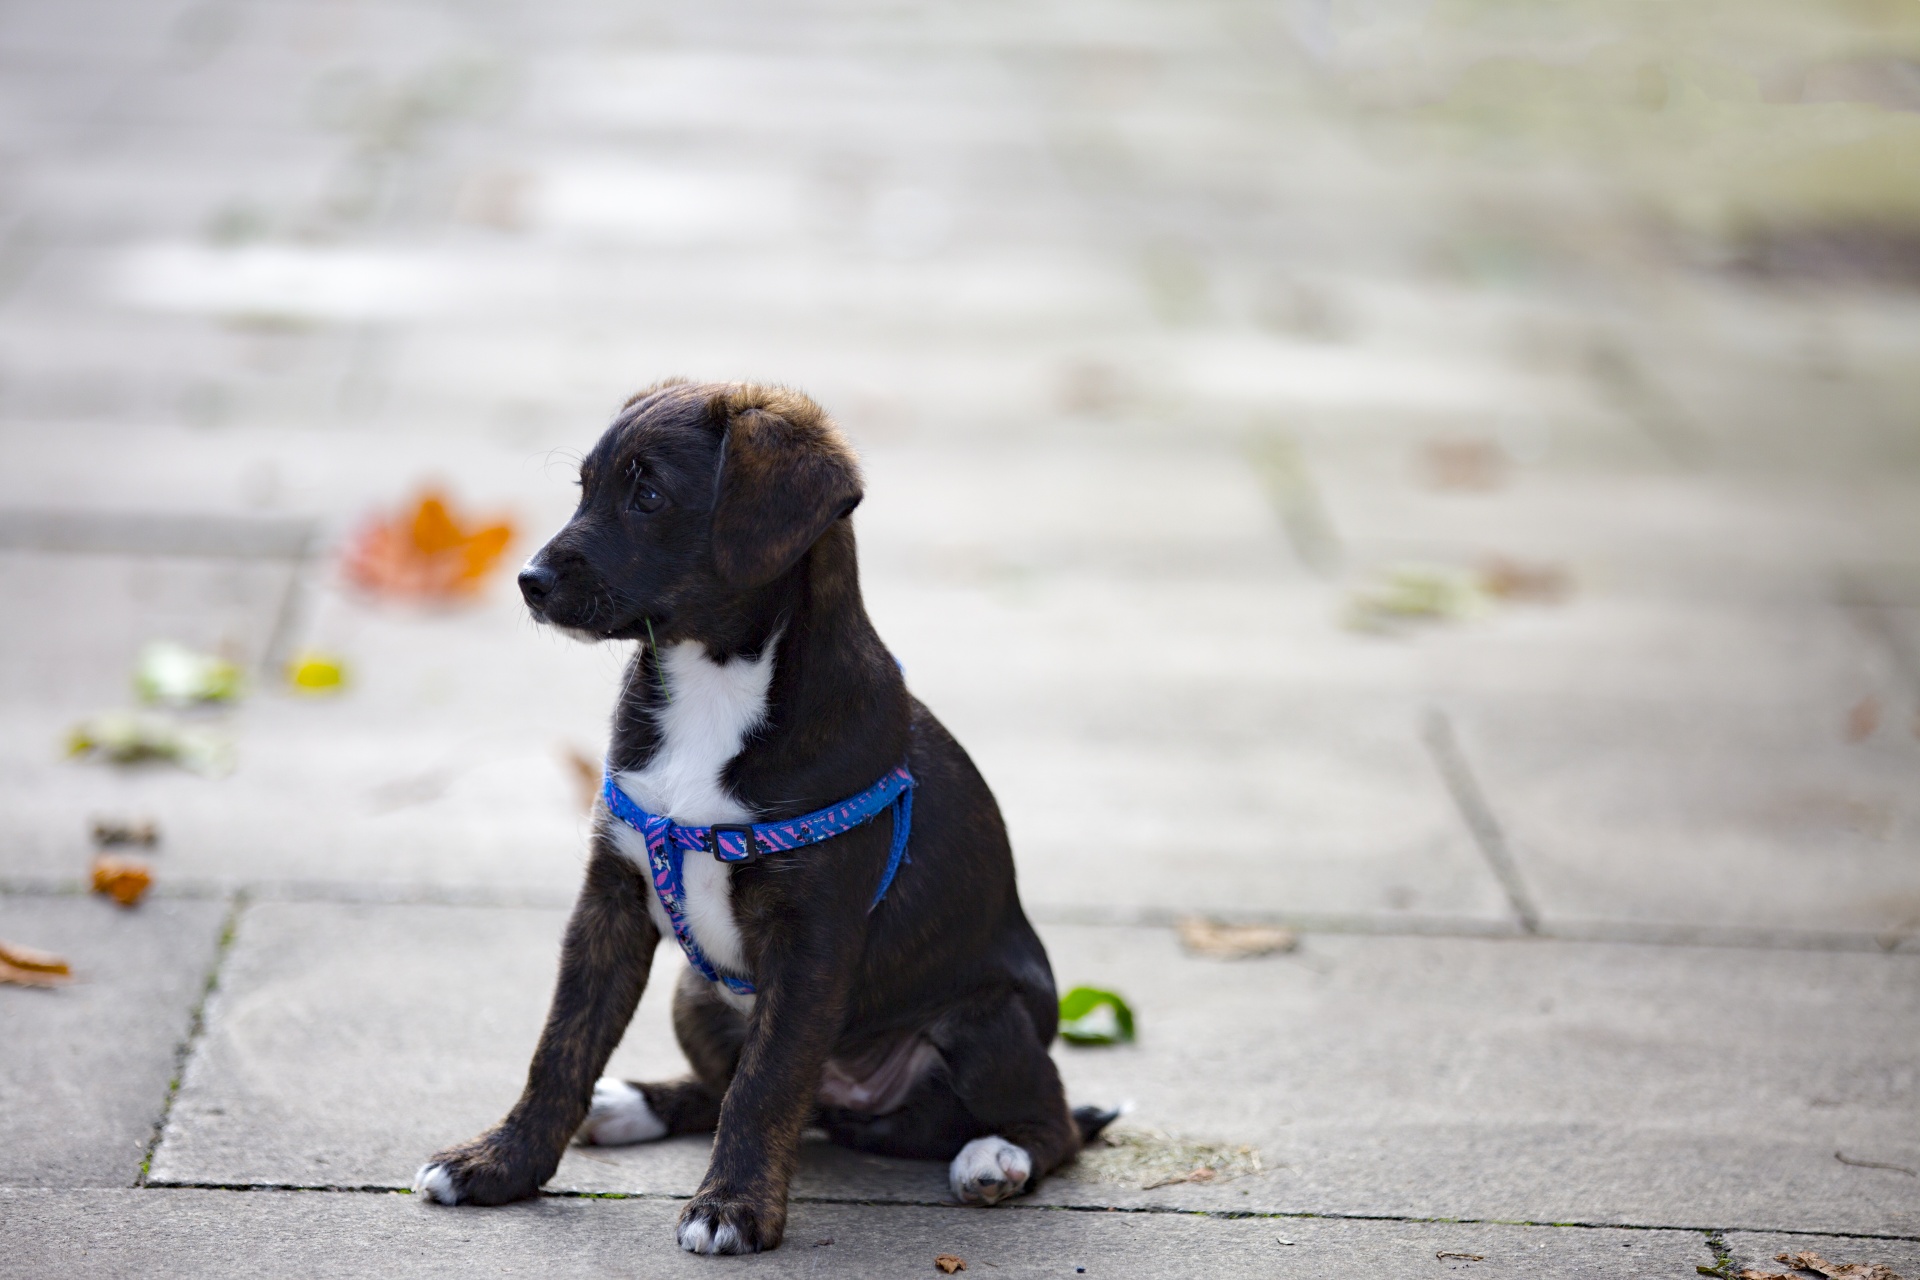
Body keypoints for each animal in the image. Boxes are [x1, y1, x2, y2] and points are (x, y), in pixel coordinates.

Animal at [412, 378, 1121, 1251]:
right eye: (584, 487)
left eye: (649, 496)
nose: (529, 581)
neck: (712, 682)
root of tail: (849, 1105)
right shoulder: (610, 898)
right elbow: (561, 1047)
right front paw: (499, 1162)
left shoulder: (809, 939)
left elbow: (767, 1082)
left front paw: (733, 1207)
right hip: (696, 993)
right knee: (721, 1088)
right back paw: (635, 1105)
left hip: (985, 1021)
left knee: (1054, 1120)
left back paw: (997, 1156)